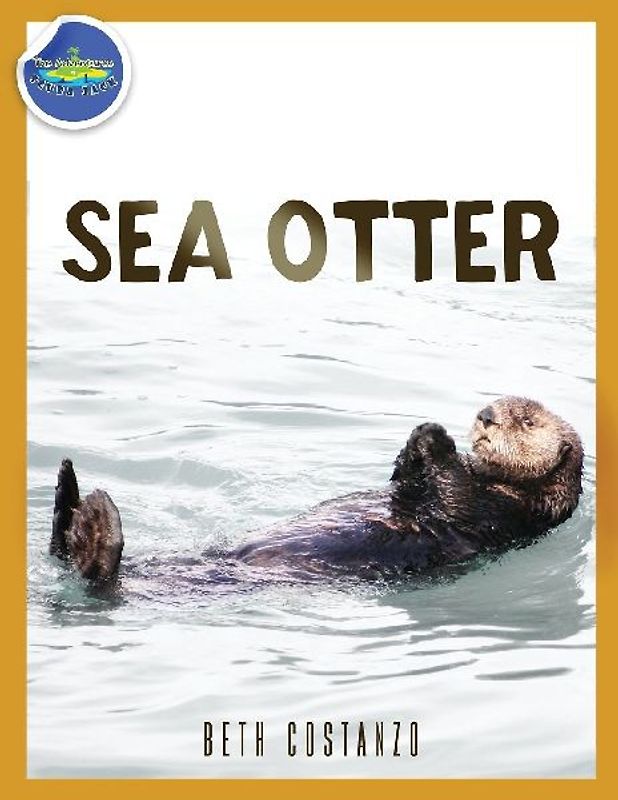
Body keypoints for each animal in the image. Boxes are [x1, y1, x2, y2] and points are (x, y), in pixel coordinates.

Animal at [49, 397, 583, 585]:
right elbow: (405, 485)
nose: (485, 416)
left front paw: (436, 439)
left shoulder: (505, 515)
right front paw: (417, 441)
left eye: (527, 420)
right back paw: (69, 497)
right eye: (493, 402)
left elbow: (454, 497)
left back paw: (92, 524)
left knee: (100, 576)